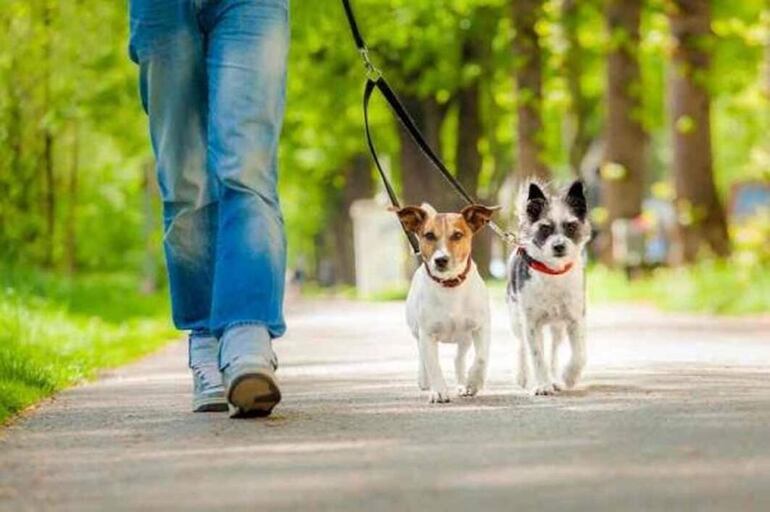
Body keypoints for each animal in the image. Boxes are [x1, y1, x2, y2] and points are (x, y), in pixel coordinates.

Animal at [390, 202, 498, 402]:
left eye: (457, 235)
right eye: (429, 235)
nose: (441, 260)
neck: (450, 285)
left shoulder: (481, 327)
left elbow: (481, 358)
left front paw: (473, 382)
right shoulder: (427, 333)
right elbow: (433, 365)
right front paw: (439, 390)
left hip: (465, 337)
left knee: (459, 358)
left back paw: (463, 384)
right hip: (417, 331)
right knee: (422, 355)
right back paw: (424, 379)